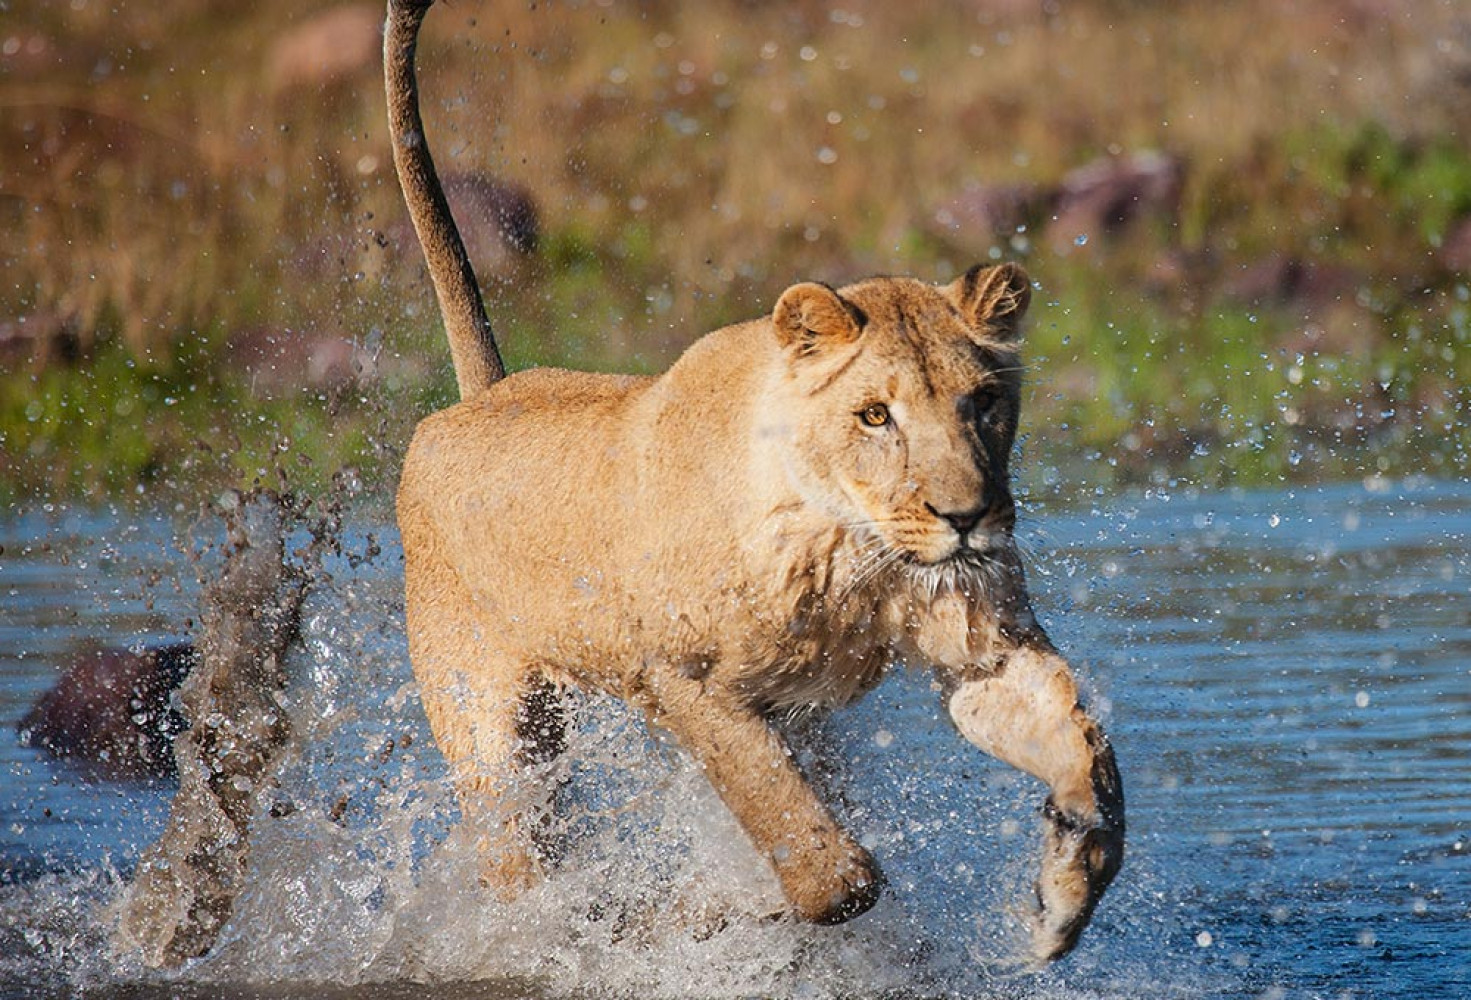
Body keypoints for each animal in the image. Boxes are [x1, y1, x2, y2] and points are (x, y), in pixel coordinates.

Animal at [385, 0, 1117, 958]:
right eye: (874, 416)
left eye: (983, 402)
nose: (965, 517)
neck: (852, 549)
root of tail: (480, 396)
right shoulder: (685, 679)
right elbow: (817, 857)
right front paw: (699, 919)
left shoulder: (983, 648)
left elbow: (1086, 752)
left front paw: (1064, 889)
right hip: (494, 734)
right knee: (517, 862)